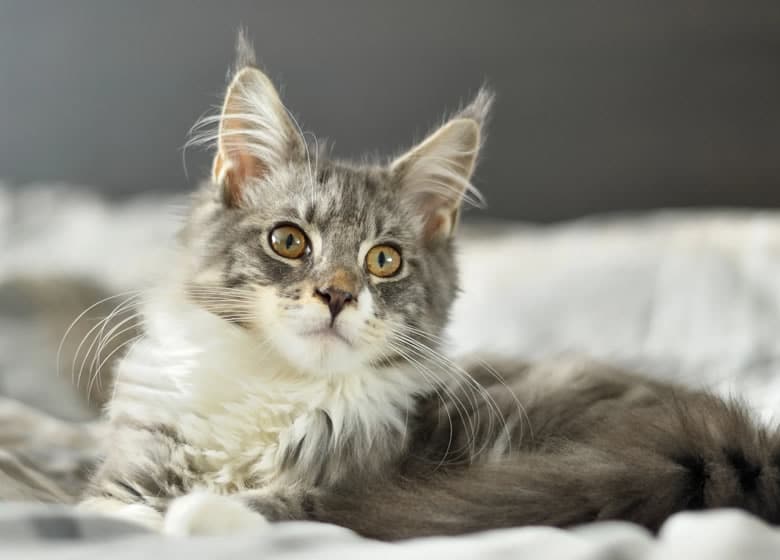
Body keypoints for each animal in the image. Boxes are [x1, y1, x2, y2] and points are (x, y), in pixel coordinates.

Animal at [79, 34, 780, 540]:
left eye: (384, 260)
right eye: (290, 241)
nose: (337, 295)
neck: (280, 387)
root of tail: (749, 441)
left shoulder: (350, 484)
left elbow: (276, 506)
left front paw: (200, 513)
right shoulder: (134, 458)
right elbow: (111, 505)